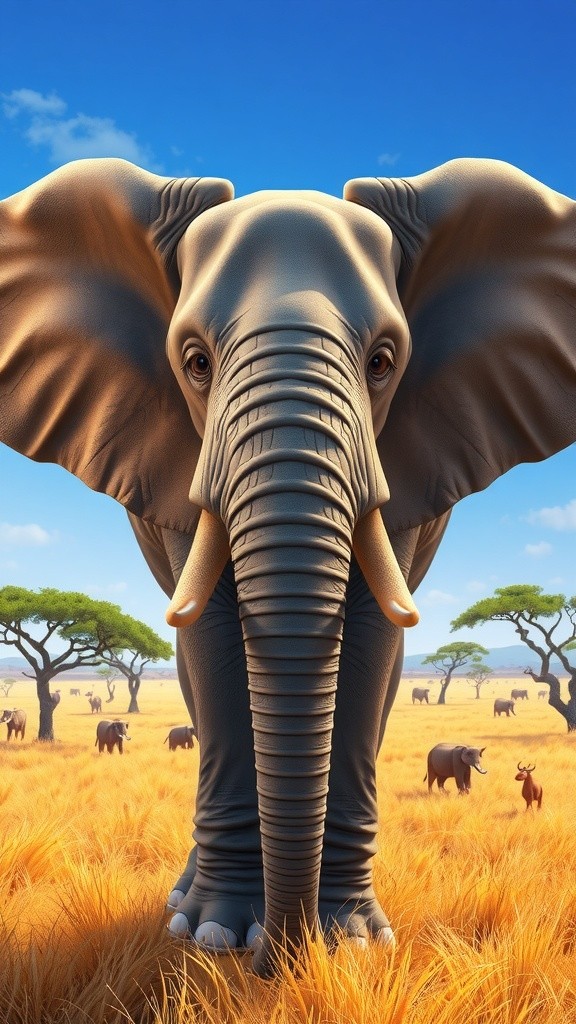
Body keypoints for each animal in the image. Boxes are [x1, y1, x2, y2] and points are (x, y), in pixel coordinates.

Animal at [0, 156, 574, 977]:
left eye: (383, 362)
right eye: (195, 362)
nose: (282, 954)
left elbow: (371, 645)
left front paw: (352, 938)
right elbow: (211, 642)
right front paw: (214, 934)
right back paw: (186, 902)